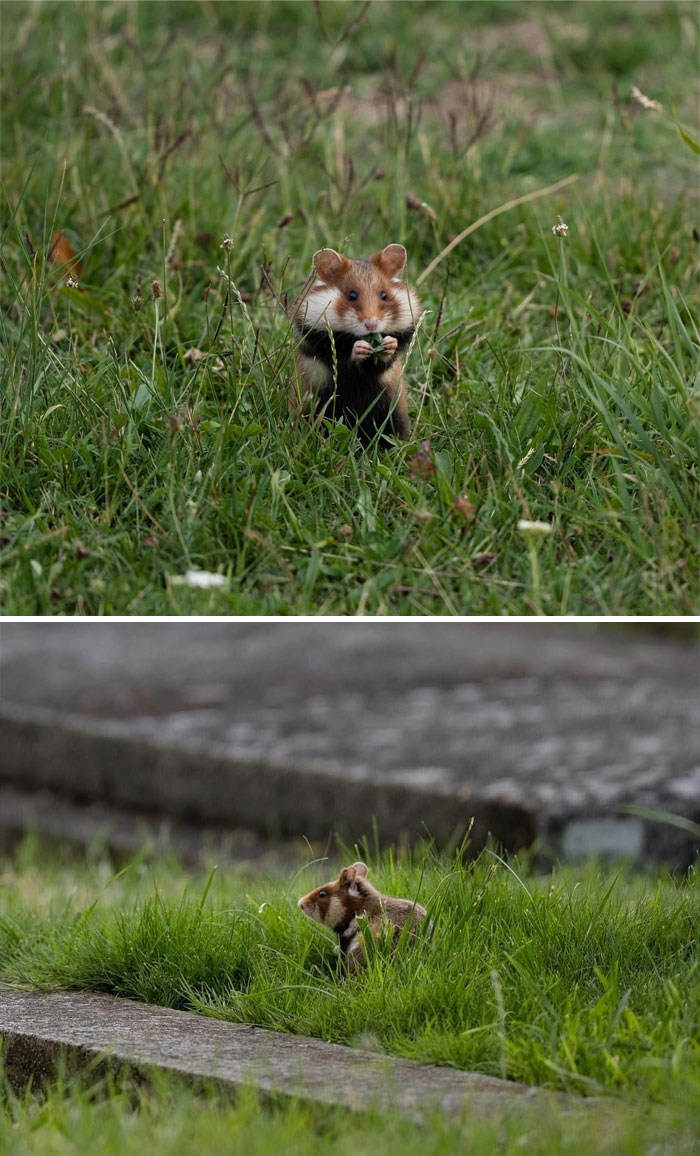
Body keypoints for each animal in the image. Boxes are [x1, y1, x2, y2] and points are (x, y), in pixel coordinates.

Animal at [290, 244, 422, 447]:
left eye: (384, 295)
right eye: (352, 295)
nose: (372, 325)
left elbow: (385, 359)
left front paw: (389, 343)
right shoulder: (322, 345)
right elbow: (343, 358)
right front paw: (360, 348)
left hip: (394, 410)